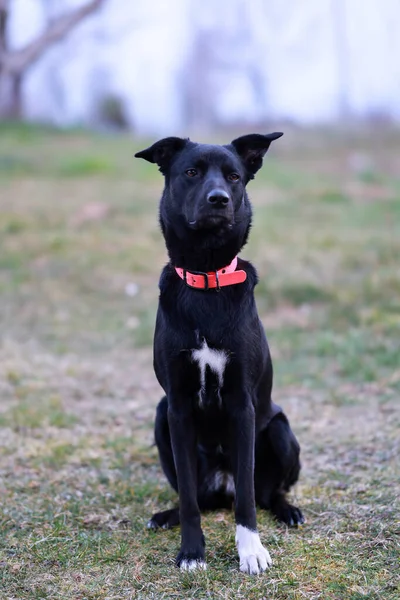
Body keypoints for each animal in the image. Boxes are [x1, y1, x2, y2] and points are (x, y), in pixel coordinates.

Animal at [136, 134, 304, 576]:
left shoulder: (242, 404)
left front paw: (251, 550)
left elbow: (247, 498)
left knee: (264, 494)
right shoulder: (176, 407)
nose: (219, 199)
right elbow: (190, 500)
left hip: (281, 430)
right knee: (198, 496)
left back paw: (288, 510)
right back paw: (166, 516)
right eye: (191, 171)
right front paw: (192, 551)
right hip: (160, 419)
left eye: (234, 176)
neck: (207, 279)